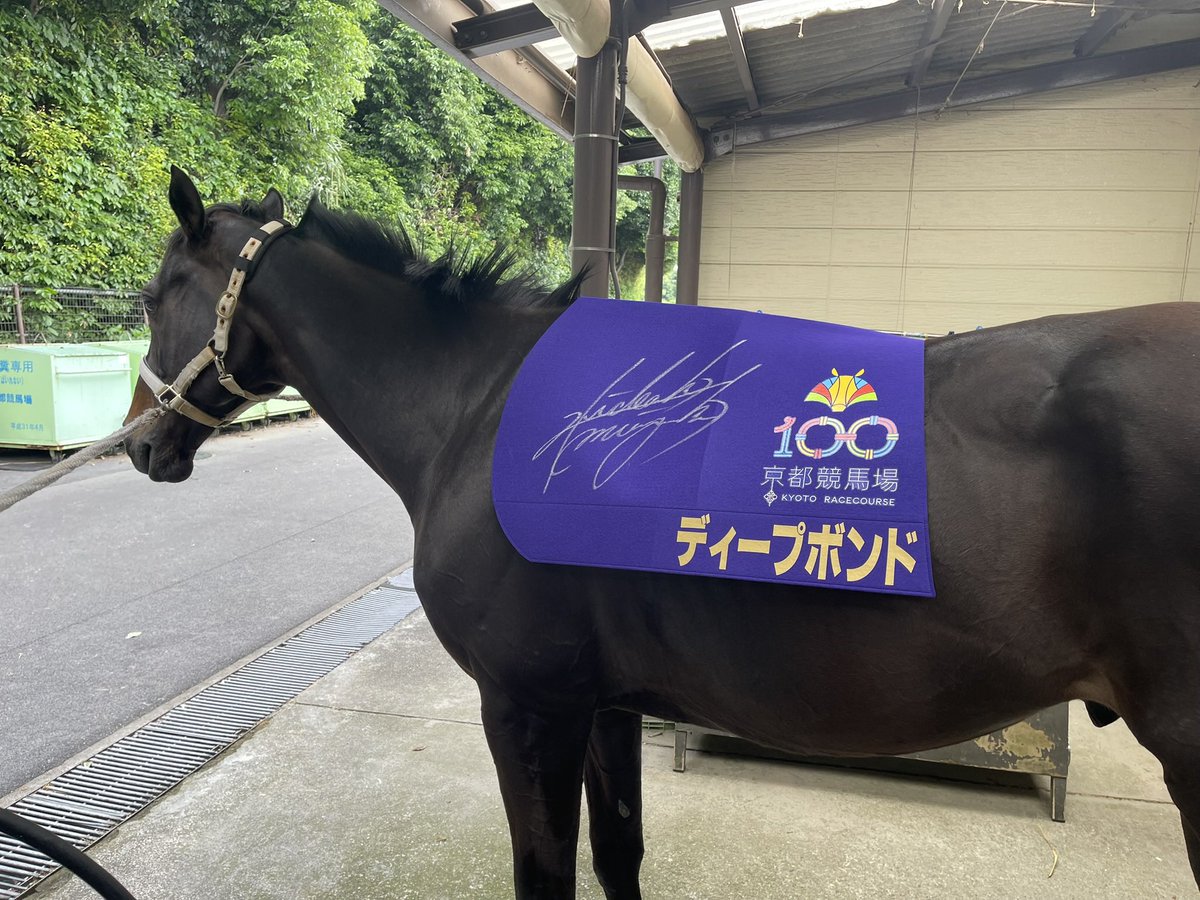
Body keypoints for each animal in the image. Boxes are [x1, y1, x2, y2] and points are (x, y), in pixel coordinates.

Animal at [125, 167, 1200, 898]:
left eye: (151, 294)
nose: (140, 443)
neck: (485, 407)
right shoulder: (605, 703)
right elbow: (620, 855)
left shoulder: (529, 706)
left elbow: (546, 874)